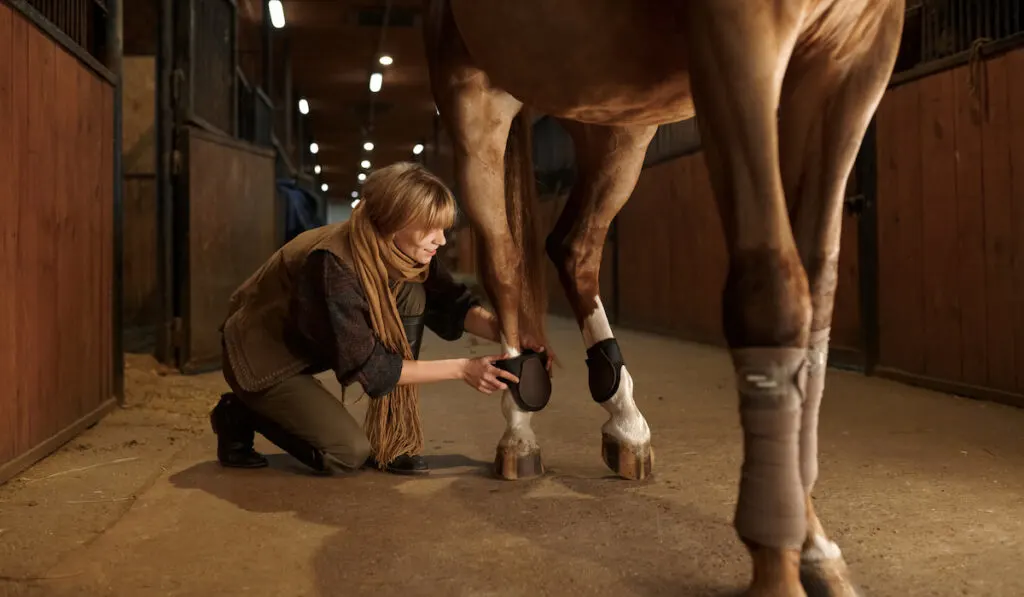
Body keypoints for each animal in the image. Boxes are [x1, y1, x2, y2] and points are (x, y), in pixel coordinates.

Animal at [423, 2, 905, 593]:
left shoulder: (856, 59)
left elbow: (817, 307)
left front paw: (813, 549)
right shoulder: (737, 37)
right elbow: (772, 293)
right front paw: (778, 561)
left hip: (613, 120)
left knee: (573, 247)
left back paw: (625, 423)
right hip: (475, 100)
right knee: (505, 262)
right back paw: (519, 430)